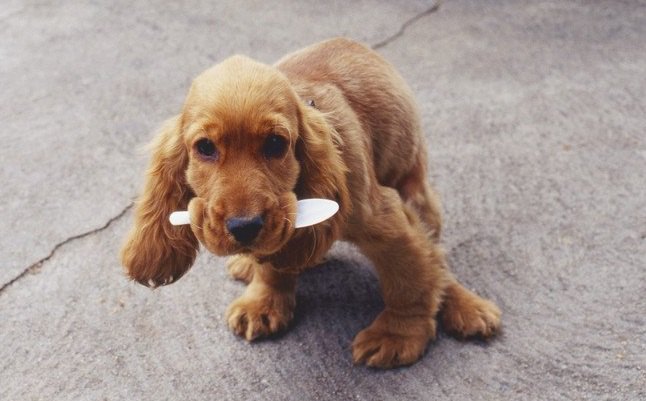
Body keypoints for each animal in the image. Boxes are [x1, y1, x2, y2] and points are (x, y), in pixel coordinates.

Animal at [123, 38, 506, 368]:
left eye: (276, 144)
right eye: (205, 147)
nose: (244, 228)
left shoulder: (388, 222)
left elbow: (408, 280)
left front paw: (397, 336)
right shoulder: (279, 226)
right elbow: (274, 262)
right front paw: (264, 301)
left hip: (417, 194)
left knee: (436, 260)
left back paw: (467, 306)